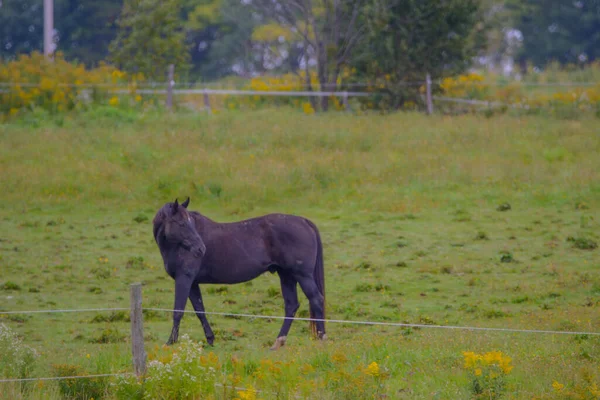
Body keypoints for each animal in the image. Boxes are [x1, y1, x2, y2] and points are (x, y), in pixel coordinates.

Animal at [152, 197, 326, 350]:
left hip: (302, 275)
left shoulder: (184, 279)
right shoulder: (193, 283)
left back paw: (321, 338)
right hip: (287, 276)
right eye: (181, 223)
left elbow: (178, 311)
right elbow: (200, 310)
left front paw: (170, 342)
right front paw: (210, 339)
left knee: (316, 300)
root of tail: (304, 221)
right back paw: (278, 342)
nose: (201, 249)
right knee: (291, 305)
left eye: (190, 223)